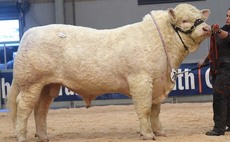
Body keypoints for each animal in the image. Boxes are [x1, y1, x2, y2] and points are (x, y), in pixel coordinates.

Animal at [6, 3, 210, 142]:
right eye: (184, 20)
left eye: (201, 17)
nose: (207, 28)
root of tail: (28, 33)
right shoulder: (141, 79)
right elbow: (144, 109)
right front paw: (147, 134)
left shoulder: (157, 83)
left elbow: (155, 111)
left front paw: (159, 132)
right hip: (31, 83)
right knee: (23, 106)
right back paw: (22, 136)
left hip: (48, 86)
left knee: (40, 110)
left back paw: (43, 136)